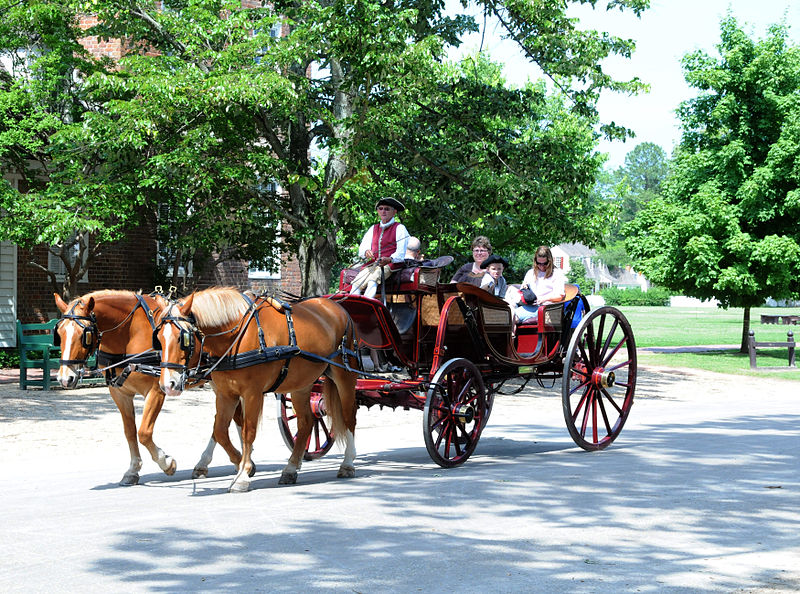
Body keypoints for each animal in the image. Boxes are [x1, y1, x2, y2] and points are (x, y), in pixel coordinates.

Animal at [53, 290, 241, 484]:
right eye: (59, 333)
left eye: (84, 334)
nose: (64, 378)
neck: (129, 334)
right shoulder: (120, 393)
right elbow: (130, 431)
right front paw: (133, 469)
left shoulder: (156, 391)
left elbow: (144, 432)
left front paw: (166, 463)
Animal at [154, 286, 360, 490]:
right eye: (159, 338)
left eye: (183, 339)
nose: (167, 385)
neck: (234, 337)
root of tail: (338, 308)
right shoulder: (225, 394)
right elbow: (220, 430)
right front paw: (240, 463)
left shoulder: (252, 393)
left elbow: (248, 431)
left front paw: (243, 474)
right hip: (302, 384)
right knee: (306, 422)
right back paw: (291, 469)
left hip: (344, 376)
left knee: (349, 417)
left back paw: (347, 463)